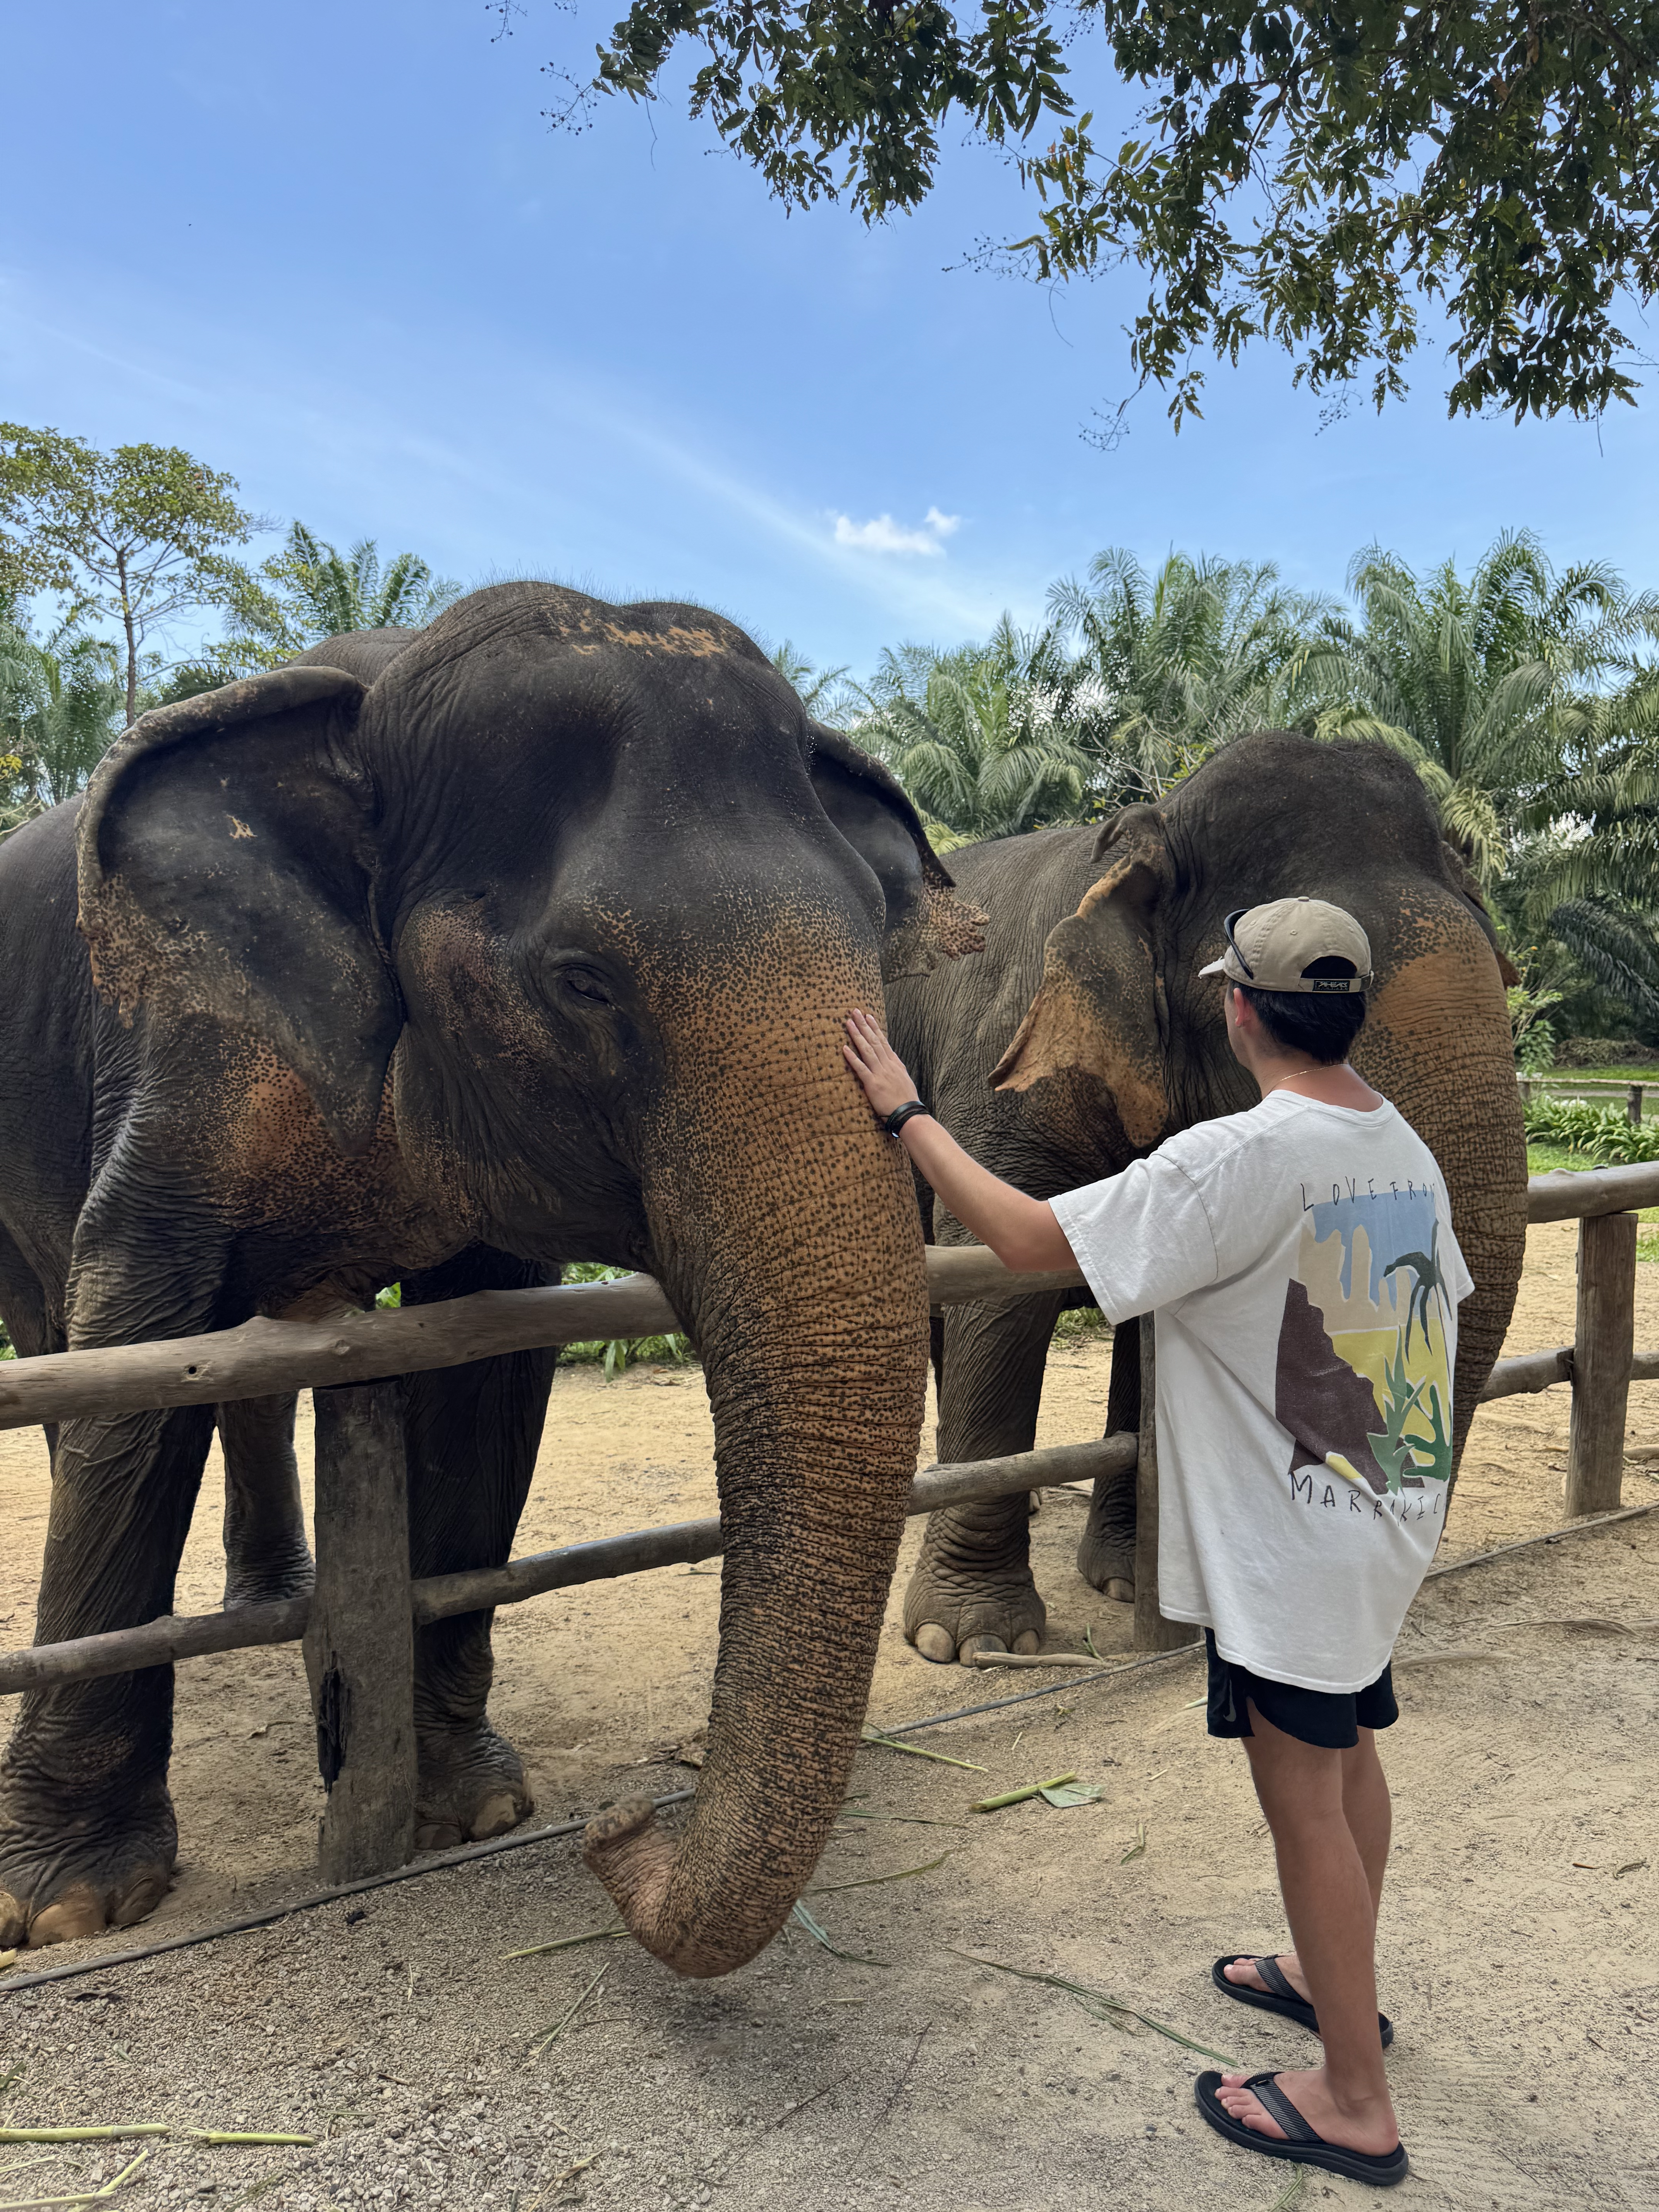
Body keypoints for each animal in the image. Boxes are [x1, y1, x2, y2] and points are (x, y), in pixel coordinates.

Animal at [0, 582, 985, 1969]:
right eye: (582, 982)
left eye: (871, 943)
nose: (622, 1823)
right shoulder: (186, 1045)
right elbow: (139, 1340)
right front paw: (69, 1906)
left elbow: (489, 1355)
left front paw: (471, 1808)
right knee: (69, 1349)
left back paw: (287, 1607)